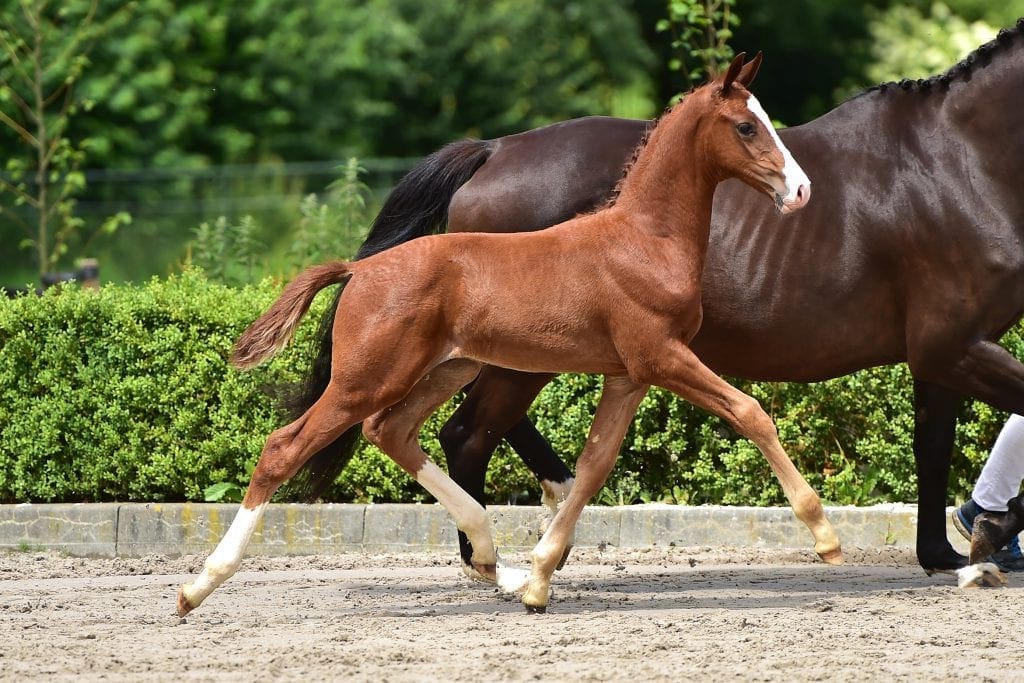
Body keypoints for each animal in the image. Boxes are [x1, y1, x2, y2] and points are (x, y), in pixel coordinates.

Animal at [176, 54, 835, 616]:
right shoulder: (662, 357)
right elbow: (750, 412)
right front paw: (824, 534)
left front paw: (540, 577)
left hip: (446, 369)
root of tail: (359, 269)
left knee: (393, 432)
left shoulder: (628, 375)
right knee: (284, 448)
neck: (644, 239)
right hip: (368, 378)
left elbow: (593, 466)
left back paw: (499, 561)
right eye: (747, 126)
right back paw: (198, 586)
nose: (800, 190)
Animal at [285, 21, 1024, 581]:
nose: (799, 191)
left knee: (464, 431)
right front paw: (989, 535)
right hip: (515, 355)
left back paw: (527, 535)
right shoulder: (952, 345)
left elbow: (934, 444)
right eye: (747, 128)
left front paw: (948, 551)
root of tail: (492, 151)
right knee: (466, 433)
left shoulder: (941, 353)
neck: (958, 161)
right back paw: (507, 550)